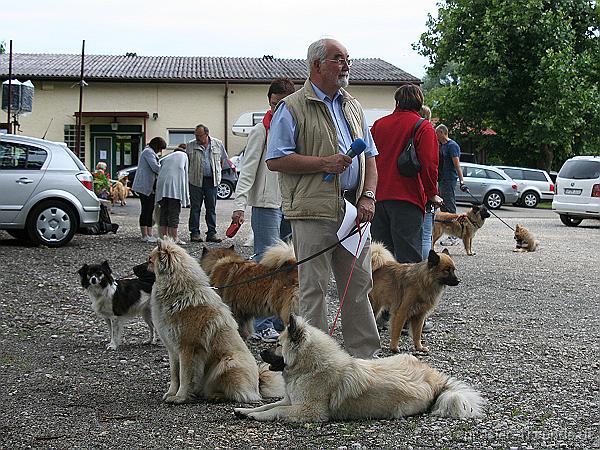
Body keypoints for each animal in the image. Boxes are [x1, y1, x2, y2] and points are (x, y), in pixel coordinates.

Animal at [147, 239, 284, 404]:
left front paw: (180, 397)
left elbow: (184, 376)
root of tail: (258, 382)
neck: (179, 293)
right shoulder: (172, 349)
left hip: (227, 362)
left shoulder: (187, 348)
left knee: (236, 393)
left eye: (149, 261)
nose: (133, 269)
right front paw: (171, 393)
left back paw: (216, 396)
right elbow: (175, 375)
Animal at [232, 316, 486, 422]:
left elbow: (276, 411)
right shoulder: (290, 399)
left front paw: (256, 416)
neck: (309, 366)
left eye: (277, 345)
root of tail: (434, 378)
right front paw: (245, 411)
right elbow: (270, 404)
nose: (259, 354)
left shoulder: (308, 410)